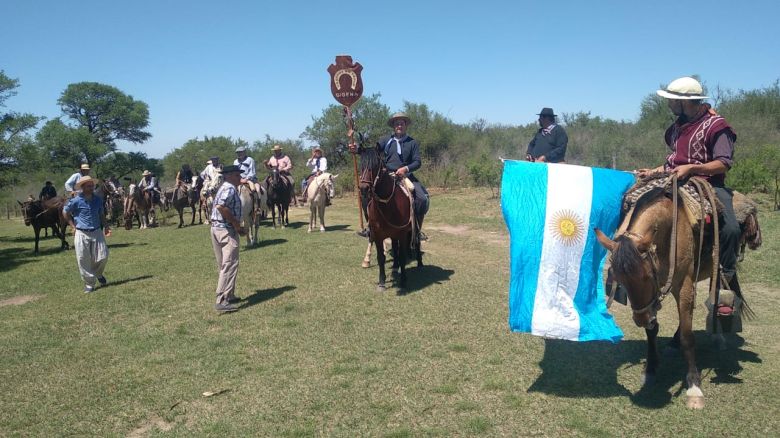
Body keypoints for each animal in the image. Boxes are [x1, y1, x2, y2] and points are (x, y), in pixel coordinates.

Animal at [358, 145, 420, 292]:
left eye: (376, 165)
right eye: (360, 165)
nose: (364, 189)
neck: (388, 204)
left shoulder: (402, 234)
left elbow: (402, 256)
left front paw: (403, 281)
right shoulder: (378, 235)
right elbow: (381, 257)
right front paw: (381, 282)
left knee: (417, 241)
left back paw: (419, 263)